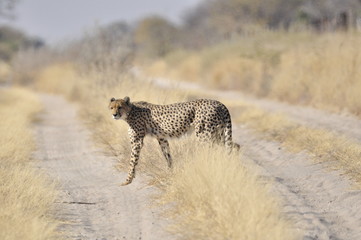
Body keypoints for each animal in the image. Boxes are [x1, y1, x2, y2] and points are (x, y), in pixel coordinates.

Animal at [109, 96, 239, 186]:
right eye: (111, 107)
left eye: (120, 107)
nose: (114, 115)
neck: (130, 111)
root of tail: (219, 103)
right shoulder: (162, 138)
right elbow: (167, 156)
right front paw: (170, 172)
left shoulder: (137, 142)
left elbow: (132, 161)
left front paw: (127, 180)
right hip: (218, 134)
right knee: (235, 146)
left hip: (205, 135)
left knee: (214, 152)